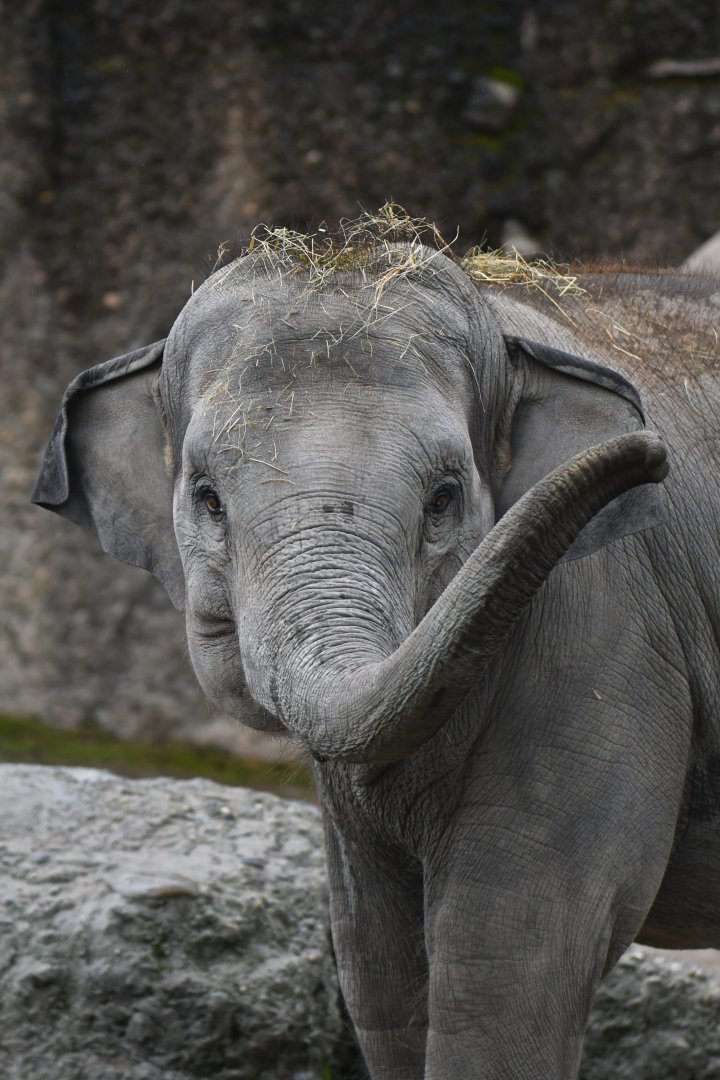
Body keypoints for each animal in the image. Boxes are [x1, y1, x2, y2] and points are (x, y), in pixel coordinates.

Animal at [33, 215, 720, 1079]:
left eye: (444, 499)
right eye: (208, 499)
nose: (649, 455)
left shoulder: (609, 634)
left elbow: (509, 966)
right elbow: (379, 975)